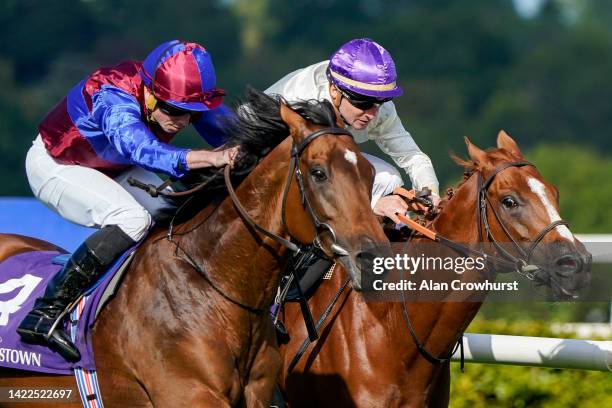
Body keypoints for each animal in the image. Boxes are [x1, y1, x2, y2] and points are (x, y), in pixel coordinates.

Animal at [0, 91, 388, 406]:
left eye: (370, 174)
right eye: (319, 173)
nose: (373, 259)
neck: (214, 285)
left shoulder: (258, 394)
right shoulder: (188, 394)